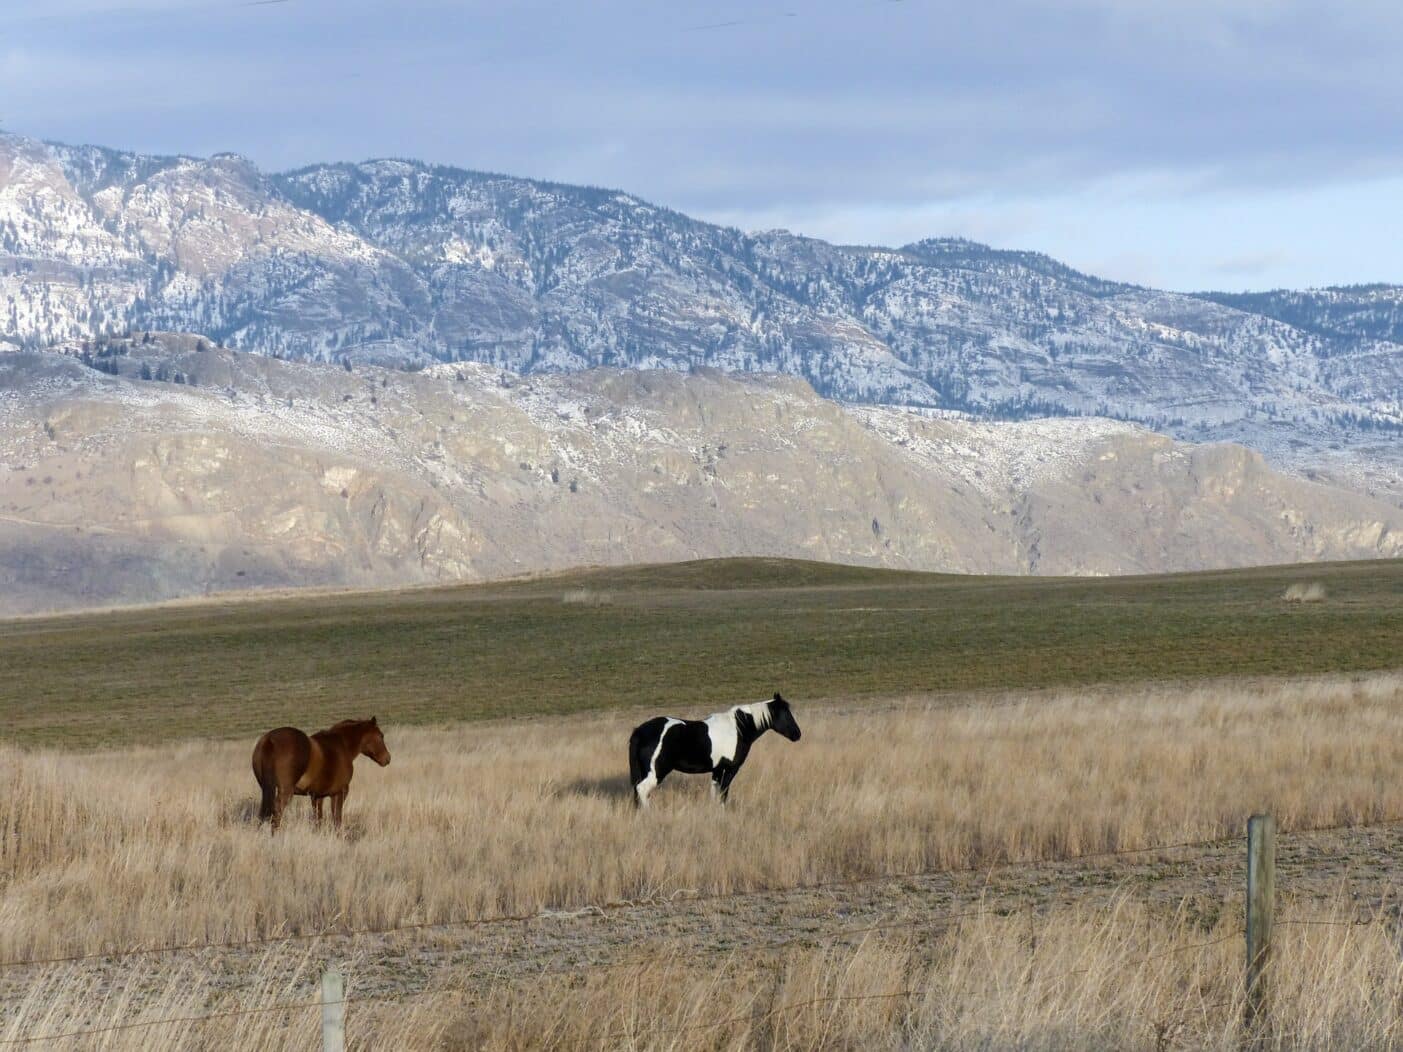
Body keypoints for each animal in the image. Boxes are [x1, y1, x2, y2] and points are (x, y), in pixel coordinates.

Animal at [252, 723, 392, 835]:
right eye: (381, 736)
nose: (387, 759)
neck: (342, 745)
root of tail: (270, 740)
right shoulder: (339, 793)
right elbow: (337, 818)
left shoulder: (317, 796)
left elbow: (318, 818)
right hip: (285, 791)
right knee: (277, 810)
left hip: (266, 789)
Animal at [628, 695, 802, 813]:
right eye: (786, 714)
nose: (797, 734)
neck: (738, 728)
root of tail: (640, 731)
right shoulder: (730, 769)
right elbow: (723, 793)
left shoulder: (717, 769)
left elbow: (715, 792)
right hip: (657, 772)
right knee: (642, 790)